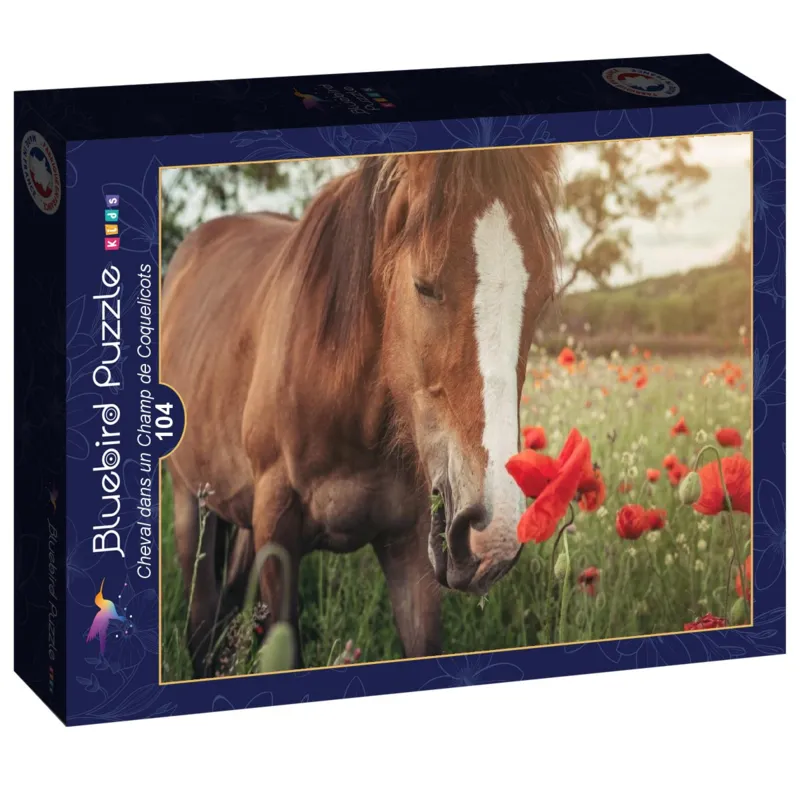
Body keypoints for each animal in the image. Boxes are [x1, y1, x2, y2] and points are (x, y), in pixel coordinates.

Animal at [161, 146, 561, 676]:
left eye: (542, 296)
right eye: (424, 286)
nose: (491, 535)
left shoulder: (412, 550)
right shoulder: (276, 530)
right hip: (192, 503)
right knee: (202, 618)